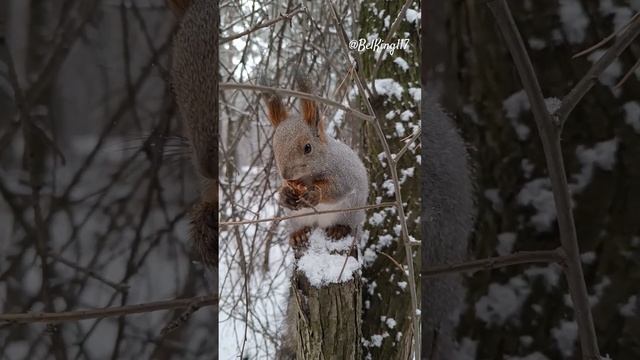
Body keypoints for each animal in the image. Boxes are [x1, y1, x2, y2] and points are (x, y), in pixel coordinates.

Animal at [262, 74, 368, 252]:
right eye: (274, 146)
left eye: (308, 147)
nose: (286, 175)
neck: (307, 177)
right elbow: (284, 190)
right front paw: (284, 195)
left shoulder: (343, 173)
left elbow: (337, 189)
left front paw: (314, 194)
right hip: (295, 217)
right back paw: (298, 235)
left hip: (350, 213)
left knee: (347, 225)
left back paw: (339, 229)